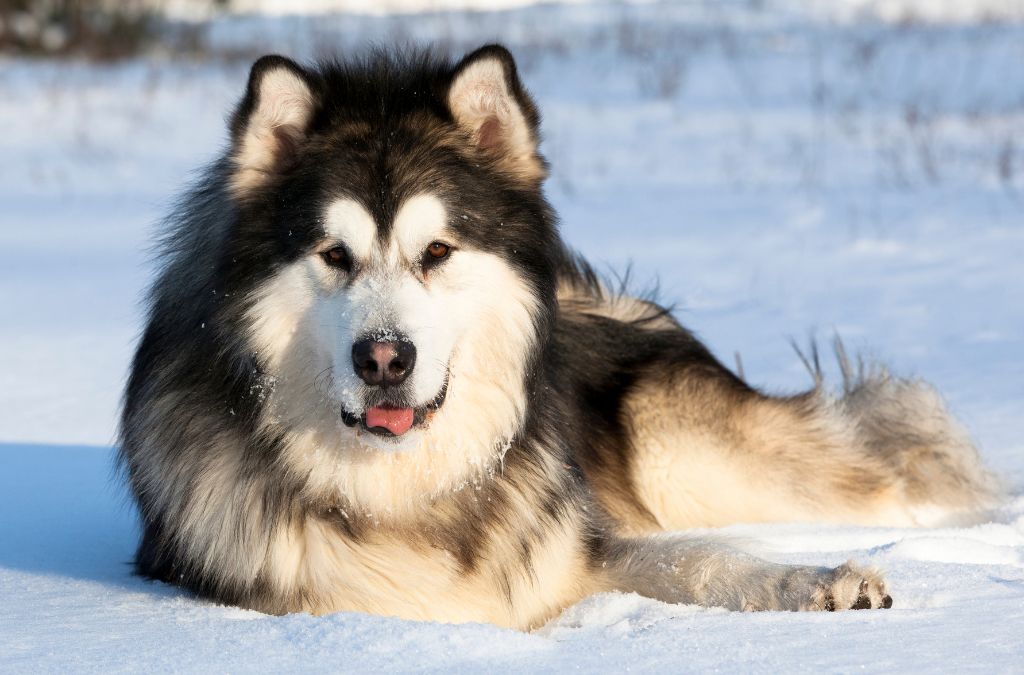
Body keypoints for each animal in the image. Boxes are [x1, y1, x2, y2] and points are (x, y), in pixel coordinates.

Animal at [119, 44, 999, 630]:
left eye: (437, 252)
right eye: (334, 255)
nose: (384, 358)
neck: (408, 488)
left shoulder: (579, 544)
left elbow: (704, 558)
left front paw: (817, 582)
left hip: (687, 450)